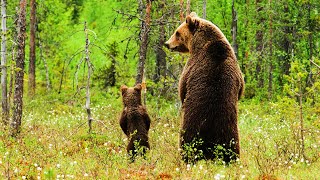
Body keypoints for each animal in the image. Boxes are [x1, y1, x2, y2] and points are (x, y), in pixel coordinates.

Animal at [166, 12, 244, 163]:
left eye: (177, 32)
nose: (167, 44)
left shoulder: (191, 66)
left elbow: (182, 88)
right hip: (230, 132)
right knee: (232, 149)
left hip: (191, 127)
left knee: (187, 145)